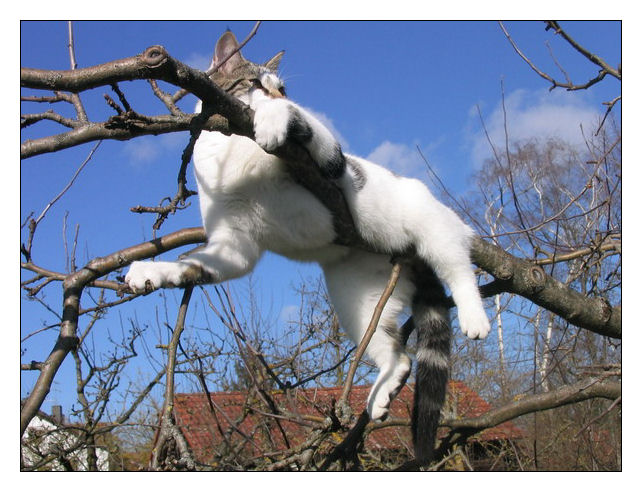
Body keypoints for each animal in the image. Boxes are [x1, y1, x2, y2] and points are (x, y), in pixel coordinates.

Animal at [126, 31, 490, 466]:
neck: (231, 151)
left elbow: (303, 121)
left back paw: (474, 316)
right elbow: (191, 263)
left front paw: (272, 118)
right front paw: (153, 270)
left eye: (282, 89)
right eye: (254, 83)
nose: (276, 96)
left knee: (458, 266)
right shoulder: (234, 245)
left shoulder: (329, 162)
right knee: (397, 355)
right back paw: (383, 391)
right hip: (356, 301)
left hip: (430, 224)